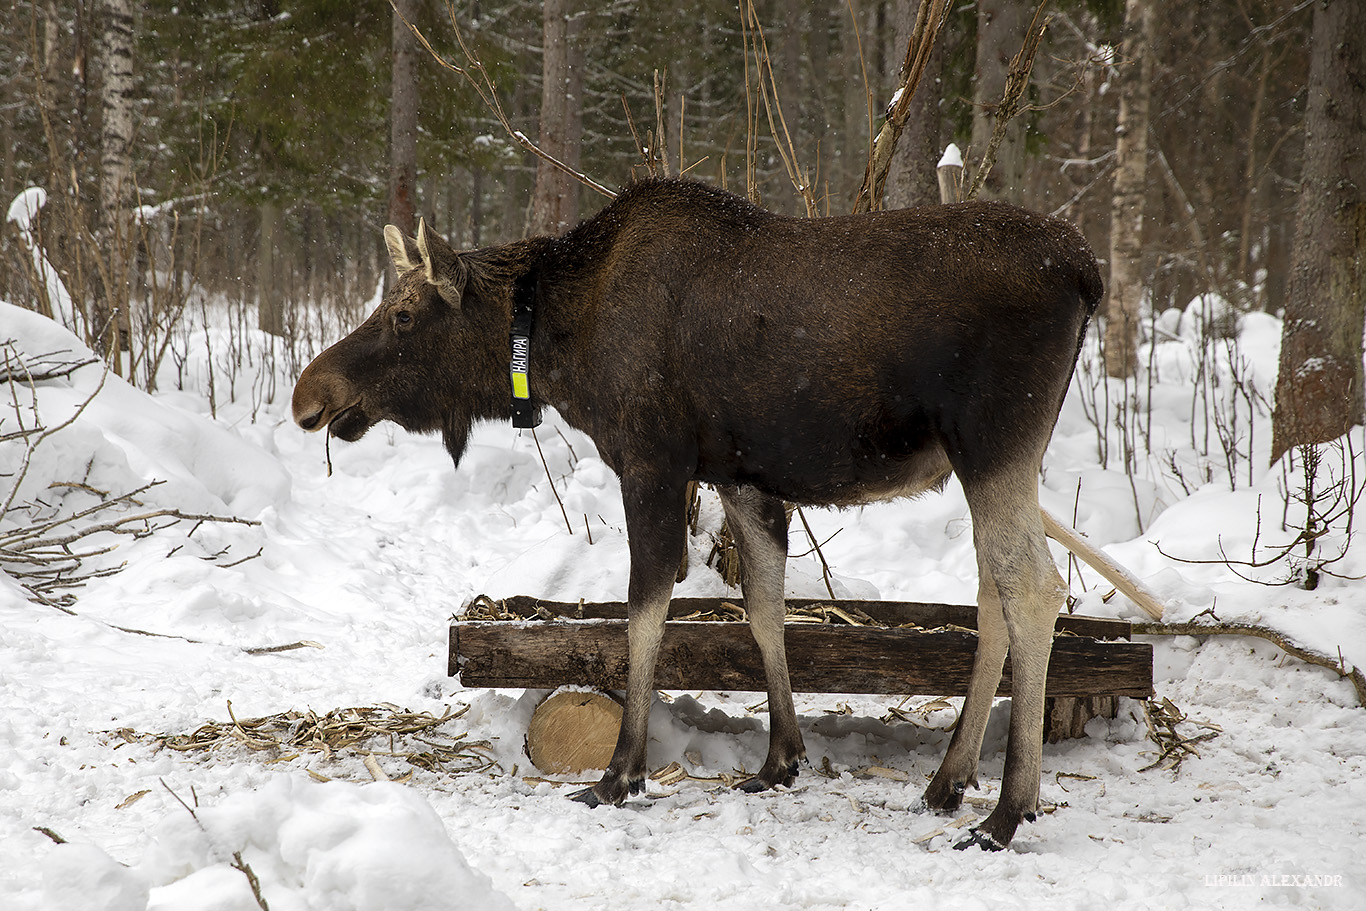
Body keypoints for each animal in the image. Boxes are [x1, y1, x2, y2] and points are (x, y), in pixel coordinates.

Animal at [293, 176, 1103, 846]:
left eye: (403, 314)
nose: (309, 395)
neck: (557, 349)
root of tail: (1087, 272)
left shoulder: (654, 461)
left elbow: (644, 611)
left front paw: (620, 773)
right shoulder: (740, 477)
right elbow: (764, 607)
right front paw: (780, 760)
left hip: (993, 440)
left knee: (1033, 587)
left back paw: (1007, 810)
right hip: (986, 460)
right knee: (992, 592)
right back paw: (948, 780)